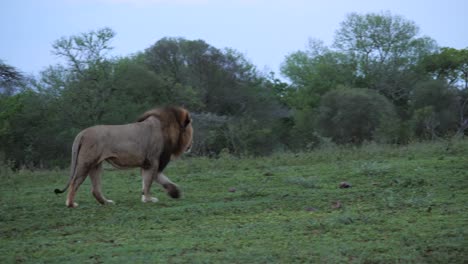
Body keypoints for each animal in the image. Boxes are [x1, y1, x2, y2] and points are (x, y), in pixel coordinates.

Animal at [54, 106, 193, 207]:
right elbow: (149, 182)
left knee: (95, 189)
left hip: (96, 165)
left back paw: (106, 202)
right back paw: (71, 204)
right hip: (86, 163)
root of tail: (82, 133)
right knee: (74, 183)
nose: (191, 144)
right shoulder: (153, 161)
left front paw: (174, 193)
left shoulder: (148, 163)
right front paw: (149, 199)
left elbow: (152, 181)